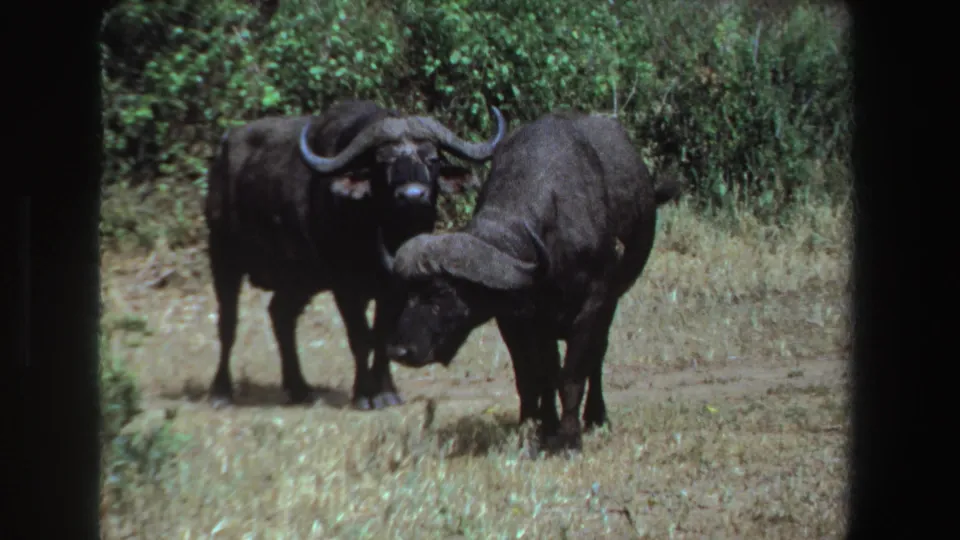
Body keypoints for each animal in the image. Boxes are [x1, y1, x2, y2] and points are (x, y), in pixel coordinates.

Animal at [204, 99, 506, 410]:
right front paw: (363, 393)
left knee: (281, 315)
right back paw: (221, 392)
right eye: (383, 161)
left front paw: (386, 392)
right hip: (223, 255)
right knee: (228, 323)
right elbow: (360, 337)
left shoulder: (396, 287)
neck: (383, 231)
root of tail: (225, 149)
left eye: (432, 158)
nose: (413, 195)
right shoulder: (345, 286)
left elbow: (384, 335)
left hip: (300, 279)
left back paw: (299, 388)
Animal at [378, 112, 682, 452]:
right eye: (406, 292)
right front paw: (541, 428)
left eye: (440, 292)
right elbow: (536, 376)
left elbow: (572, 375)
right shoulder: (518, 319)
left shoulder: (593, 306)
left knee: (597, 357)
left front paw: (569, 439)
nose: (399, 350)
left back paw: (596, 415)